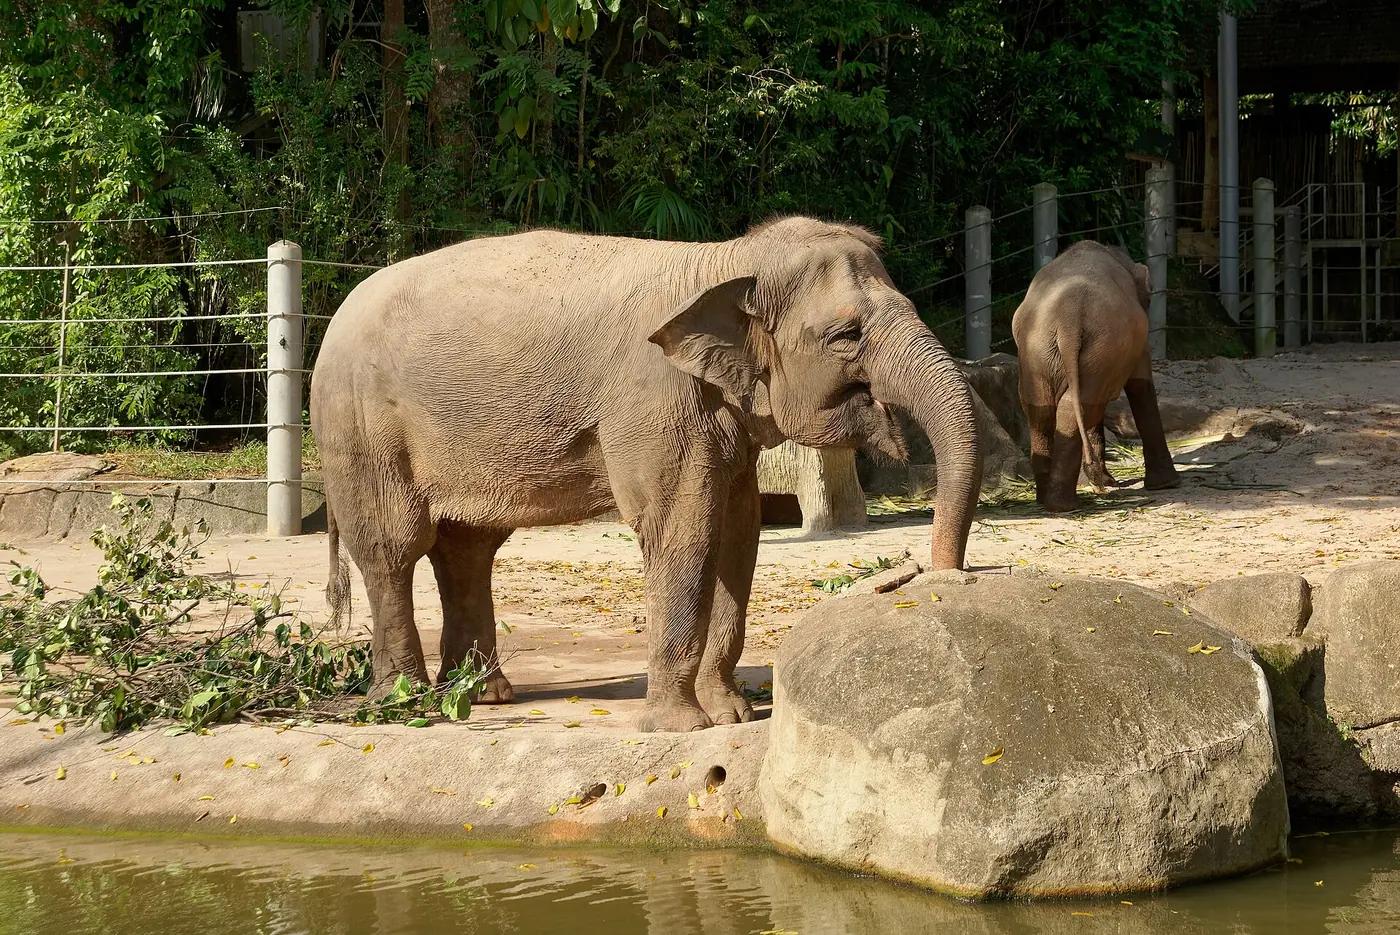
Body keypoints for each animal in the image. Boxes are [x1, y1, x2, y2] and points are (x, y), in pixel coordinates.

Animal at [310, 216, 983, 732]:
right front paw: (682, 727)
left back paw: (480, 694)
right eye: (846, 335)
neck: (724, 261)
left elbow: (739, 529)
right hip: (361, 429)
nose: (943, 577)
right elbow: (683, 528)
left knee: (466, 548)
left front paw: (733, 715)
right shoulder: (656, 404)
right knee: (396, 548)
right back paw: (406, 704)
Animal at [1011, 240, 1179, 512]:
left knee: (1043, 409)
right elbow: (1141, 387)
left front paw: (1105, 481)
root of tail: (1068, 318)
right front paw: (1168, 484)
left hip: (1039, 348)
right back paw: (1066, 503)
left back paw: (1049, 499)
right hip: (1101, 346)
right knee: (1080, 405)